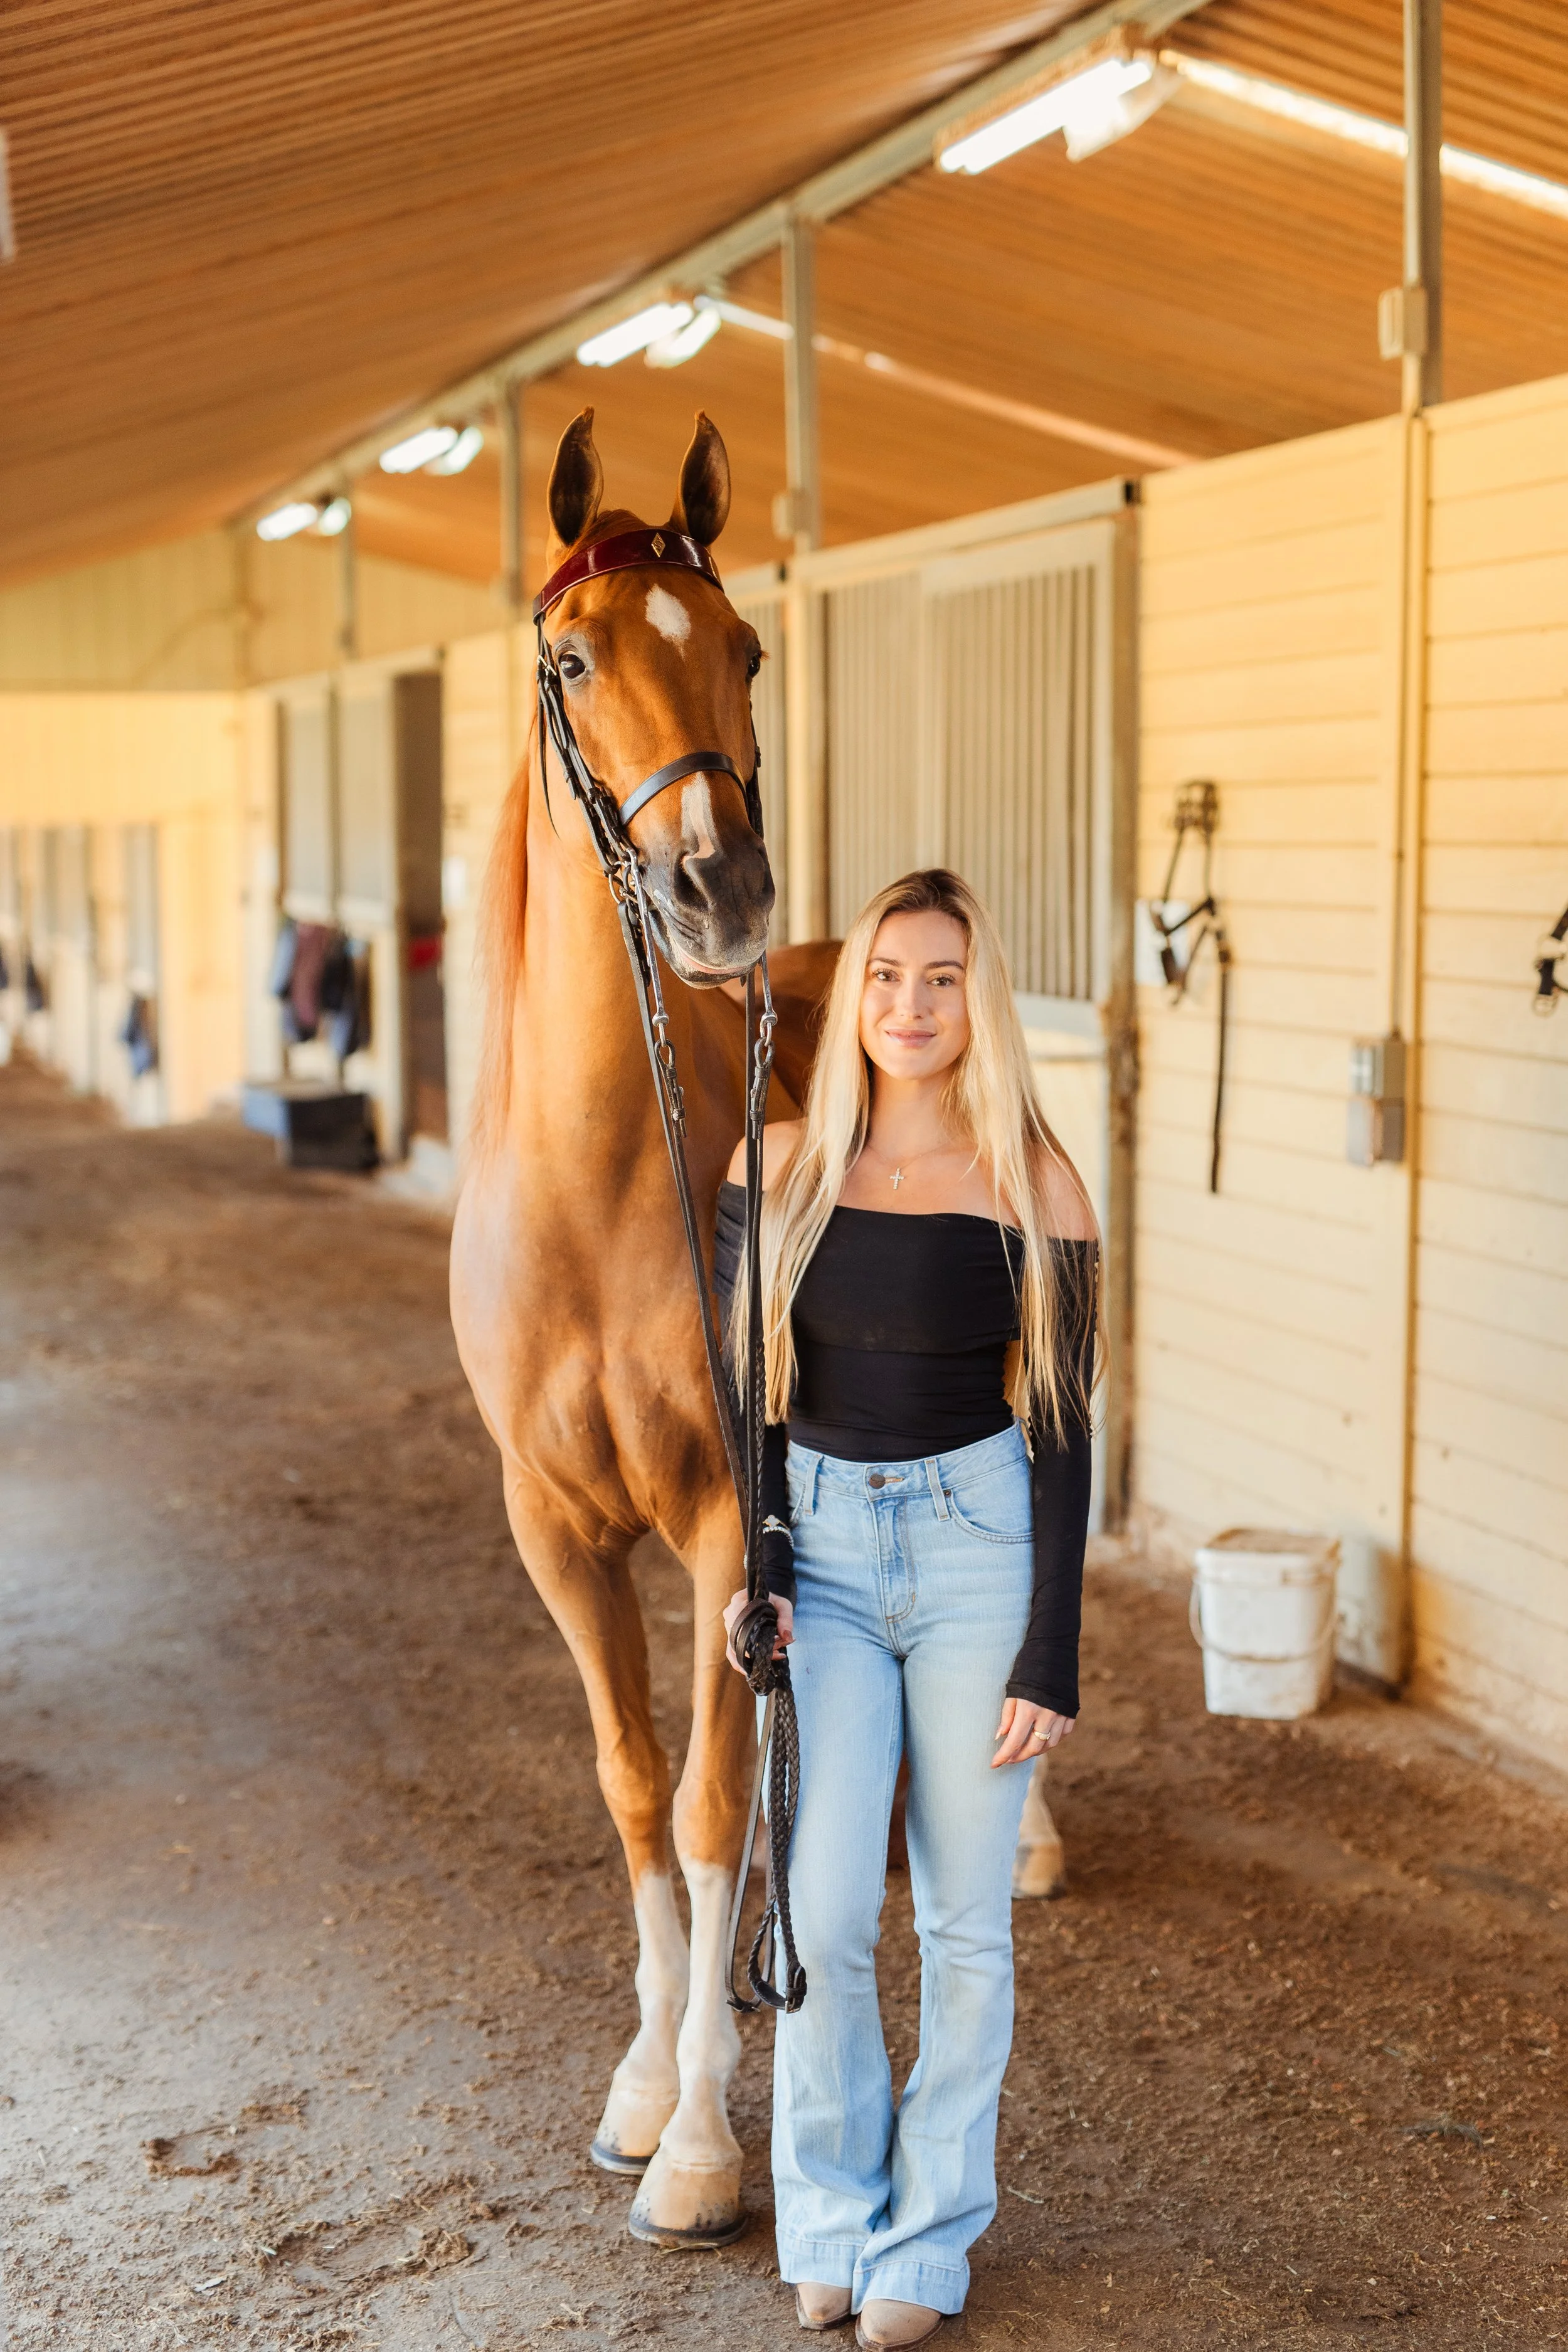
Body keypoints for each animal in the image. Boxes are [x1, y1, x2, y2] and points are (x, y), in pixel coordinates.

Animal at [451, 407, 1067, 2252]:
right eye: (574, 658)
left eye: (743, 646)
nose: (716, 886)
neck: (599, 1184)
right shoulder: (556, 1528)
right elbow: (636, 1781)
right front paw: (643, 2080)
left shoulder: (739, 1516)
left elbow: (721, 1800)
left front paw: (705, 2144)